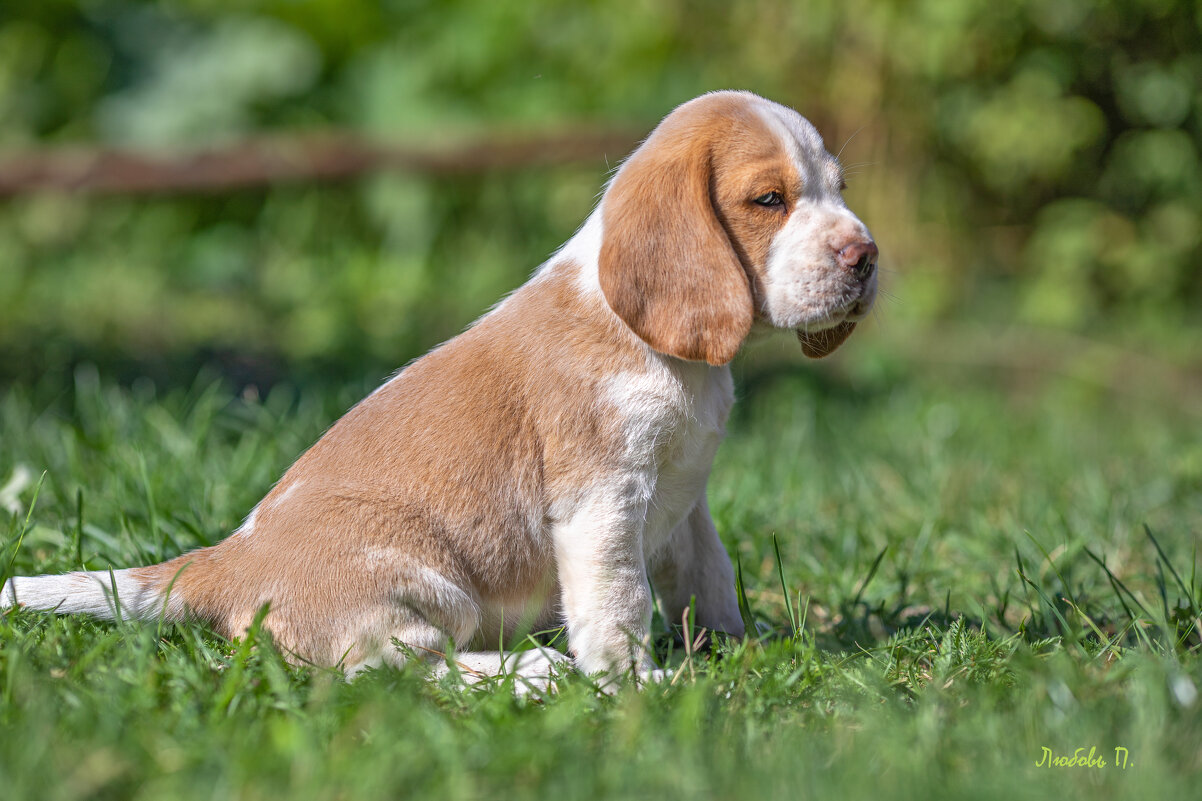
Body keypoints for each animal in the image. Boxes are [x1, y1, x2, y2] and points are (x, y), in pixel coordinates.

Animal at [2, 90, 884, 683]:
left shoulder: (685, 499)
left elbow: (709, 576)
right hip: (427, 591)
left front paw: (739, 649)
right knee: (401, 671)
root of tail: (223, 563)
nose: (865, 255)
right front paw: (639, 685)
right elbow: (620, 604)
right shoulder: (603, 502)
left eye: (840, 188)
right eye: (769, 199)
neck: (677, 361)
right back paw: (532, 675)